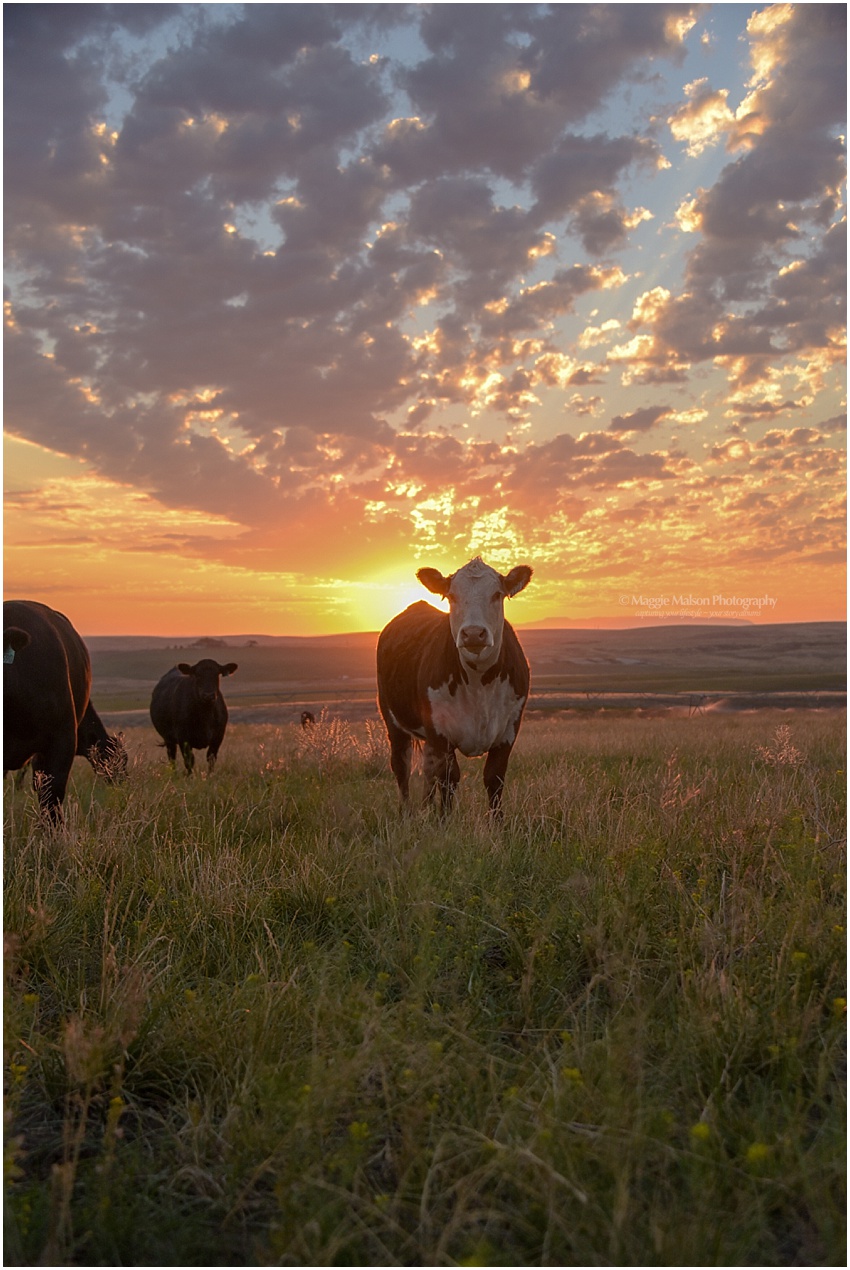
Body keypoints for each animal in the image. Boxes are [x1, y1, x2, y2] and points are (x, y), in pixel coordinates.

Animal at [376, 556, 532, 816]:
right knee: (401, 767)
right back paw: (406, 813)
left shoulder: (509, 728)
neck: (479, 681)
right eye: (451, 595)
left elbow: (494, 778)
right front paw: (445, 820)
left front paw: (498, 823)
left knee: (427, 771)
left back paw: (425, 808)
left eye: (497, 594)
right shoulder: (440, 730)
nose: (473, 634)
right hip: (394, 722)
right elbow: (449, 779)